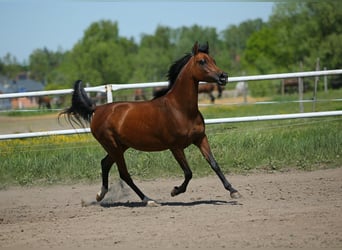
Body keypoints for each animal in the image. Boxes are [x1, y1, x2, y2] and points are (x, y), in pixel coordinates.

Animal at [59, 41, 240, 205]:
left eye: (213, 60)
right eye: (202, 61)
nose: (224, 76)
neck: (180, 110)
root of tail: (97, 109)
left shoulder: (200, 139)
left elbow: (214, 164)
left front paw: (233, 191)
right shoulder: (175, 147)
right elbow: (188, 172)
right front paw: (175, 191)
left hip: (120, 146)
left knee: (105, 164)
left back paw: (100, 195)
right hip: (113, 146)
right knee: (124, 174)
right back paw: (148, 200)